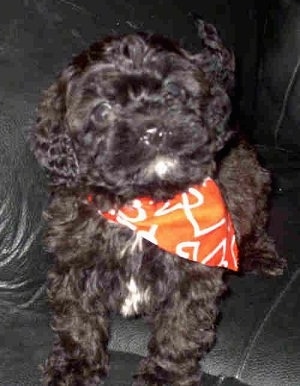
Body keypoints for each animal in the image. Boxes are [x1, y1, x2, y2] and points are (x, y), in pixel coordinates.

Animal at [31, 20, 286, 386]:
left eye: (174, 93)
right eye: (103, 111)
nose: (153, 130)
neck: (144, 205)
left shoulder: (192, 277)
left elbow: (179, 328)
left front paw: (165, 374)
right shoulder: (74, 257)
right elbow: (76, 316)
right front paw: (75, 364)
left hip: (248, 175)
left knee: (253, 215)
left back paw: (259, 253)